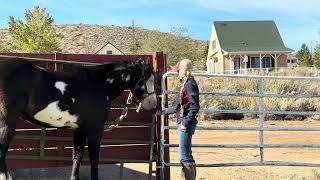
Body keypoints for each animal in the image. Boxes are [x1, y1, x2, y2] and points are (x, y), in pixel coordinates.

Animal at [0, 56, 158, 180]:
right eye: (150, 79)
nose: (155, 106)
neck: (98, 83)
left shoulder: (79, 129)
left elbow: (77, 156)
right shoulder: (95, 129)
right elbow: (94, 157)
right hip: (7, 123)